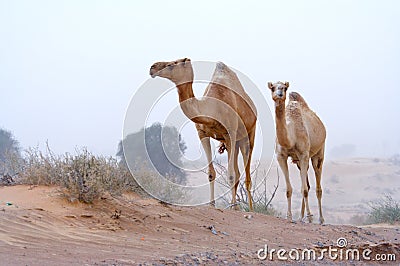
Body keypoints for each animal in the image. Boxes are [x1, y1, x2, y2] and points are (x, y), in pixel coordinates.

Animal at [149, 57, 256, 210]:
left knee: (247, 176)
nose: (152, 67)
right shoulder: (203, 134)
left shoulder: (230, 132)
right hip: (234, 143)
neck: (213, 109)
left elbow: (230, 174)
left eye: (172, 64)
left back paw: (250, 209)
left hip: (248, 136)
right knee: (238, 172)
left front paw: (234, 206)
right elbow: (211, 173)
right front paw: (212, 204)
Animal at [268, 81, 326, 224]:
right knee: (308, 185)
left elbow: (304, 189)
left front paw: (310, 217)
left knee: (317, 186)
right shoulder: (281, 156)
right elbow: (289, 189)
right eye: (272, 87)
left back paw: (320, 219)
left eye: (284, 87)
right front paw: (289, 216)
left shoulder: (304, 154)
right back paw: (300, 217)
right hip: (300, 162)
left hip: (319, 153)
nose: (279, 93)